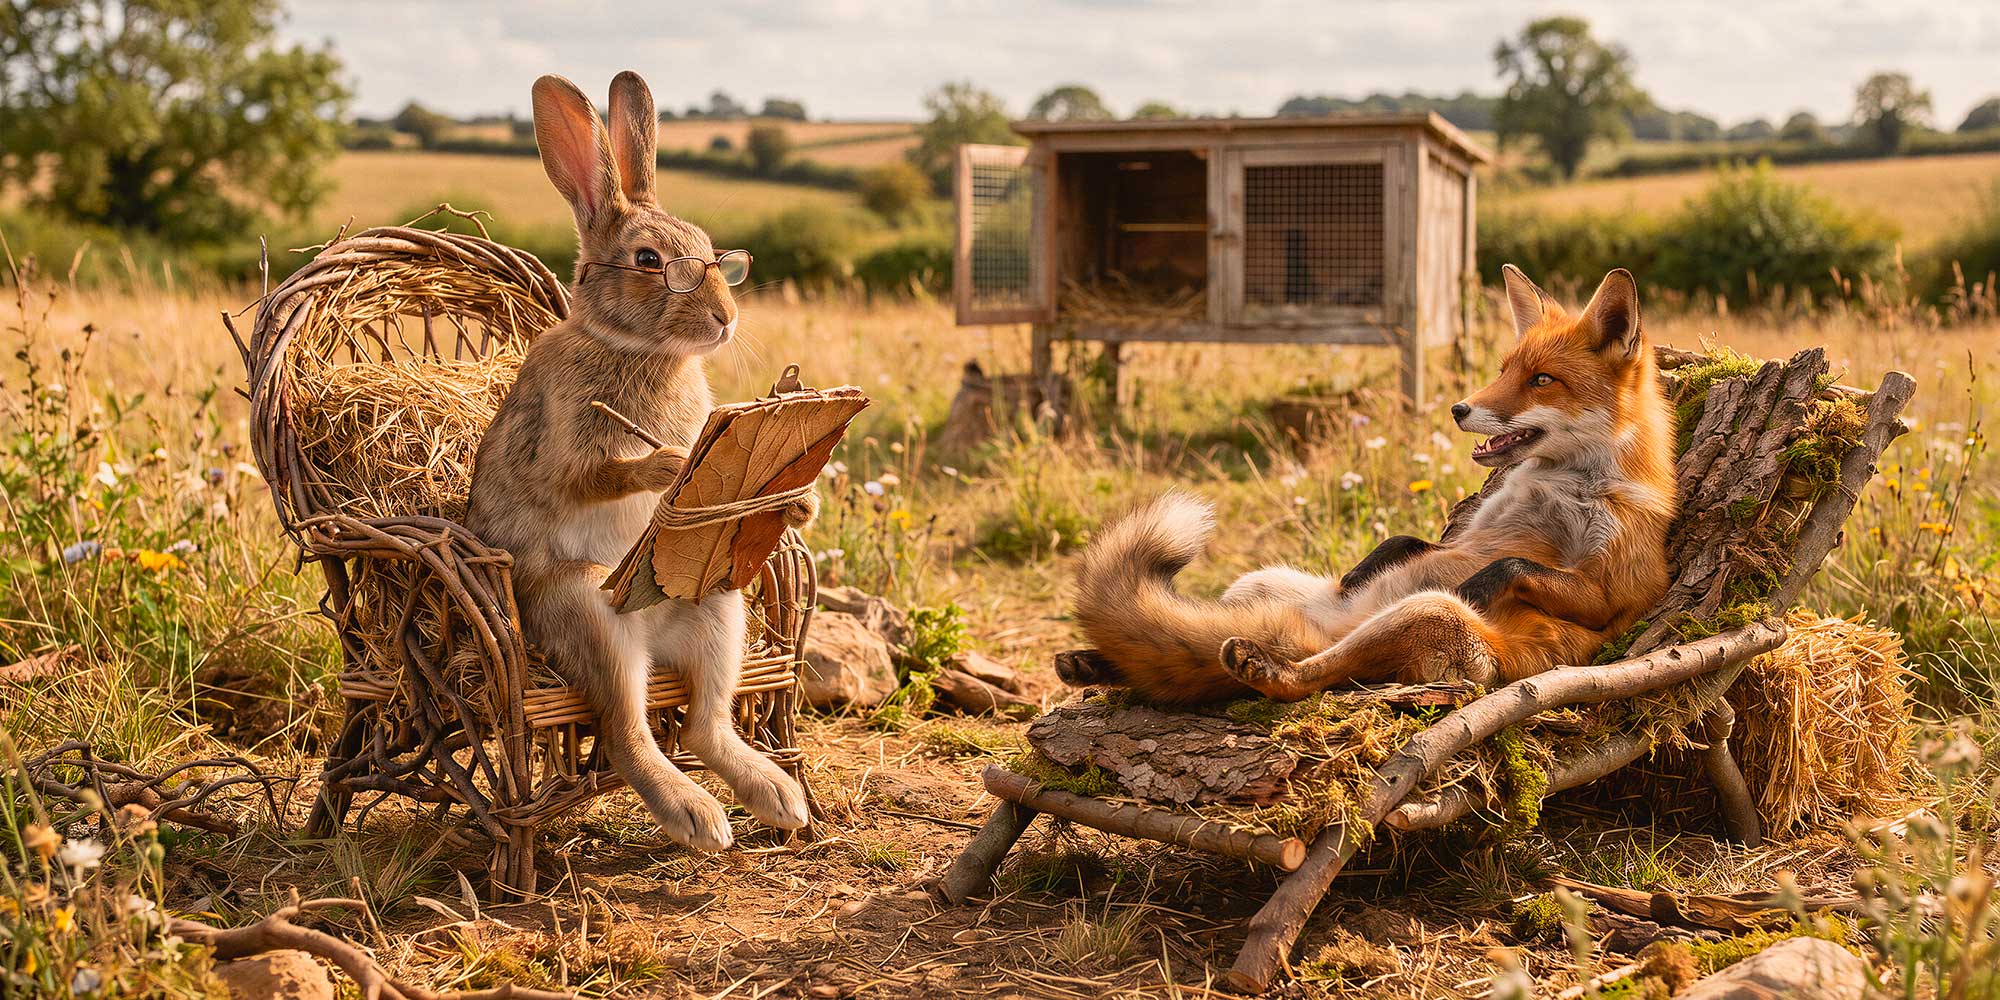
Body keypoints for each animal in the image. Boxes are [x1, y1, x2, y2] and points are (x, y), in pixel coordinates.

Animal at [465, 71, 810, 852]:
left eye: (718, 256)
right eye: (650, 261)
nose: (726, 320)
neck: (641, 350)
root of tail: (653, 639)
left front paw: (798, 502)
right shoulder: (565, 442)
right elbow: (593, 476)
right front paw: (671, 466)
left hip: (717, 598)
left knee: (706, 723)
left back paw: (777, 796)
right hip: (593, 611)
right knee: (628, 732)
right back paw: (698, 815)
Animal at [1067, 265, 1677, 704]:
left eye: (1542, 380)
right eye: (1505, 370)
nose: (1458, 409)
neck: (1557, 478)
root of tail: (1331, 626)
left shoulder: (1616, 587)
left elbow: (1513, 565)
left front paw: (1480, 584)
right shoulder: (1471, 526)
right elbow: (1409, 540)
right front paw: (1364, 568)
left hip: (1427, 613)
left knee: (1310, 675)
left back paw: (1267, 667)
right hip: (1255, 585)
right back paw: (1099, 663)